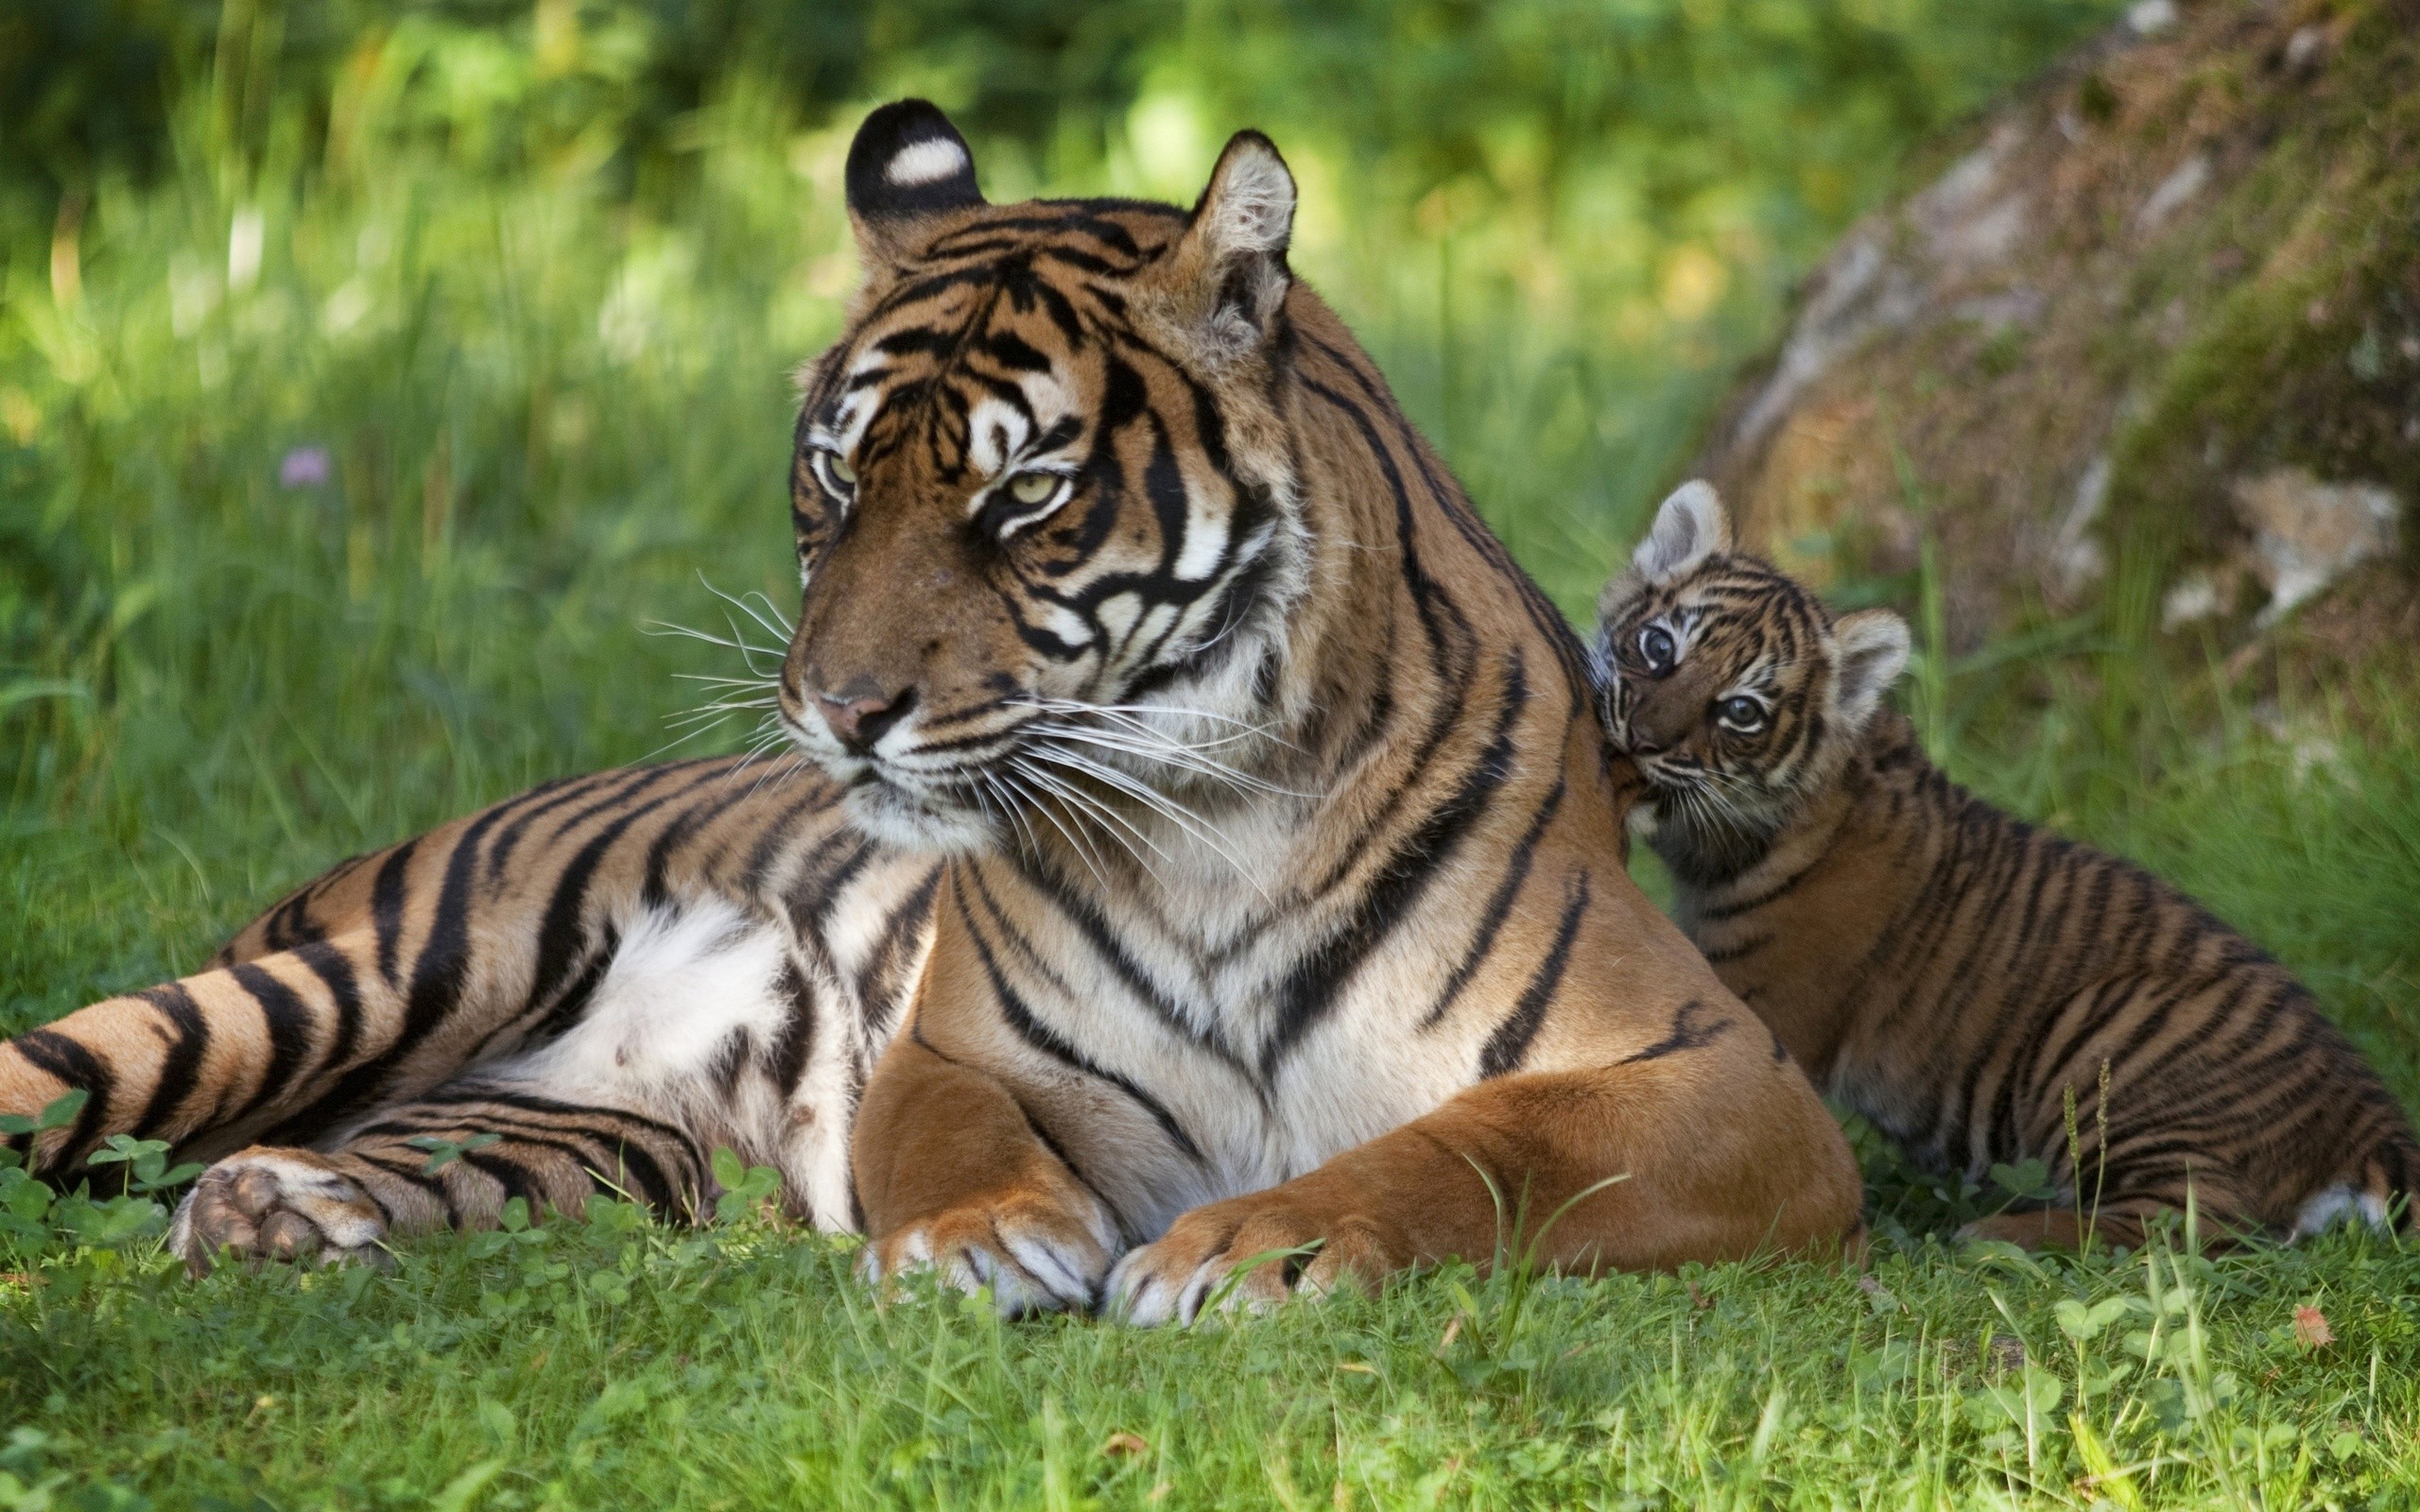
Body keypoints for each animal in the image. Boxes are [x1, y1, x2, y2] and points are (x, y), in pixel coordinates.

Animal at [0, 103, 1858, 1306]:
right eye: (835, 479)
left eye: (1022, 498)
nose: (835, 712)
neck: (1218, 816)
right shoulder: (965, 1048)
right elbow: (961, 1134)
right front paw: (986, 1242)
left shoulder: (1730, 1083)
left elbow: (1473, 1146)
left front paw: (1254, 1246)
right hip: (336, 984)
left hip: (579, 1143)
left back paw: (280, 1215)